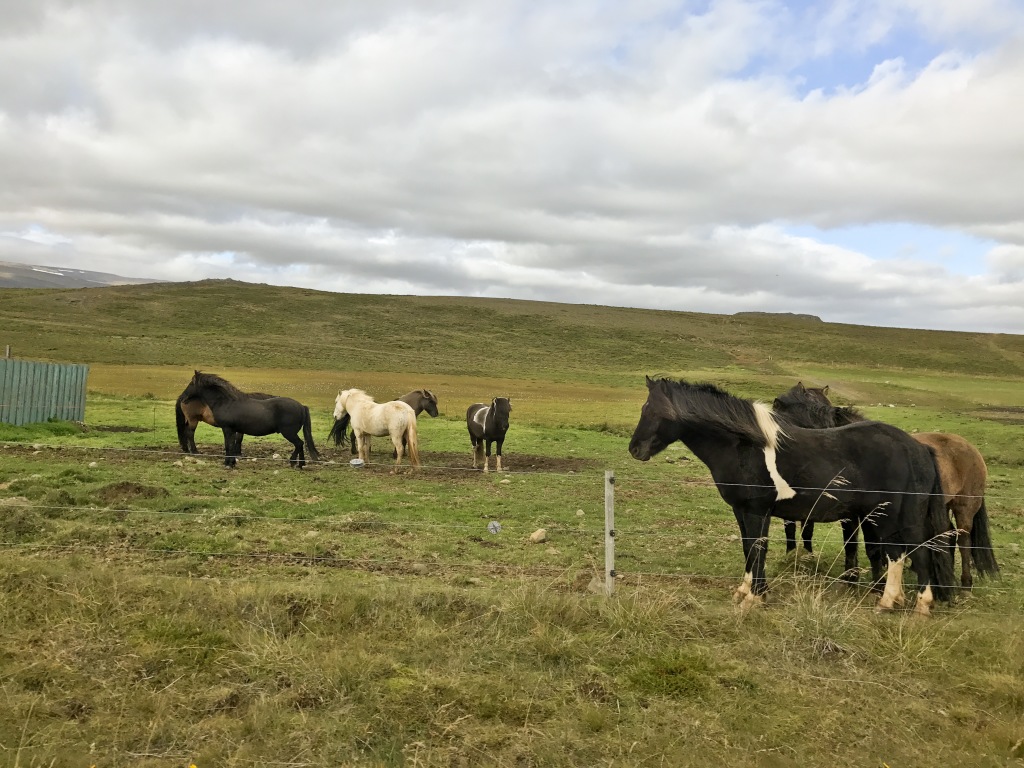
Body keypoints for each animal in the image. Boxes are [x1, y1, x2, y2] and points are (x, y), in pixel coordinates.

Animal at [180, 371, 321, 469]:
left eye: (191, 383)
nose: (183, 398)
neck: (226, 402)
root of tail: (301, 406)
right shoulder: (232, 430)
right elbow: (231, 446)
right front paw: (232, 463)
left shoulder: (227, 429)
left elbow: (228, 446)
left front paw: (228, 463)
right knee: (300, 444)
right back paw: (299, 464)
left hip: (289, 433)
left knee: (299, 444)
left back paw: (295, 463)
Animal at [629, 377, 956, 615]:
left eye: (650, 411)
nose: (635, 449)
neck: (745, 446)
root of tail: (918, 447)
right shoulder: (741, 511)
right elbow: (748, 548)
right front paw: (747, 591)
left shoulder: (756, 511)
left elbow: (757, 549)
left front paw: (754, 598)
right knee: (898, 553)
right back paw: (892, 601)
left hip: (896, 515)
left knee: (913, 553)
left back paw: (912, 604)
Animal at [773, 382, 997, 589]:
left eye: (779, 407)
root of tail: (971, 449)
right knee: (947, 535)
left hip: (964, 508)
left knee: (964, 541)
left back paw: (965, 583)